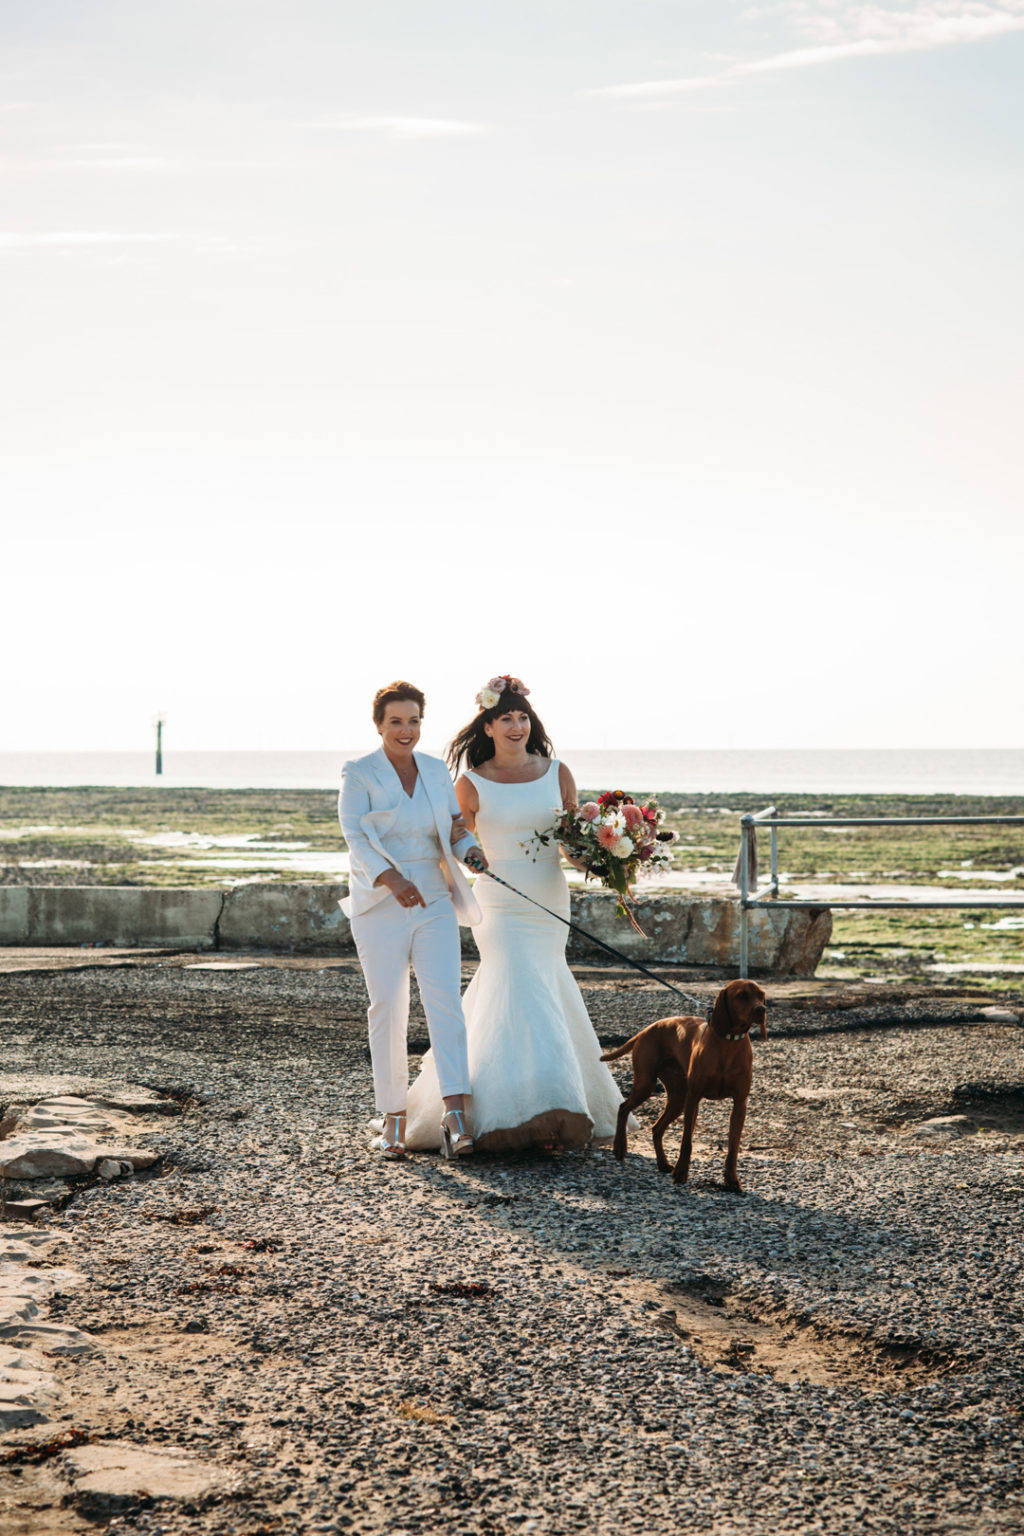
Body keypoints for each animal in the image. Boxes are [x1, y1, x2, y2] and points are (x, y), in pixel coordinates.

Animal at [601, 976, 767, 1191]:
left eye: (761, 995)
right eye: (742, 995)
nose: (761, 1010)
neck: (728, 1043)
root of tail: (646, 1029)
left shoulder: (740, 1103)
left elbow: (733, 1147)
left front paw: (731, 1180)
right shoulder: (694, 1098)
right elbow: (686, 1141)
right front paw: (681, 1172)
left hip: (678, 1098)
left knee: (656, 1128)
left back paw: (662, 1163)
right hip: (647, 1084)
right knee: (623, 1107)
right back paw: (619, 1147)